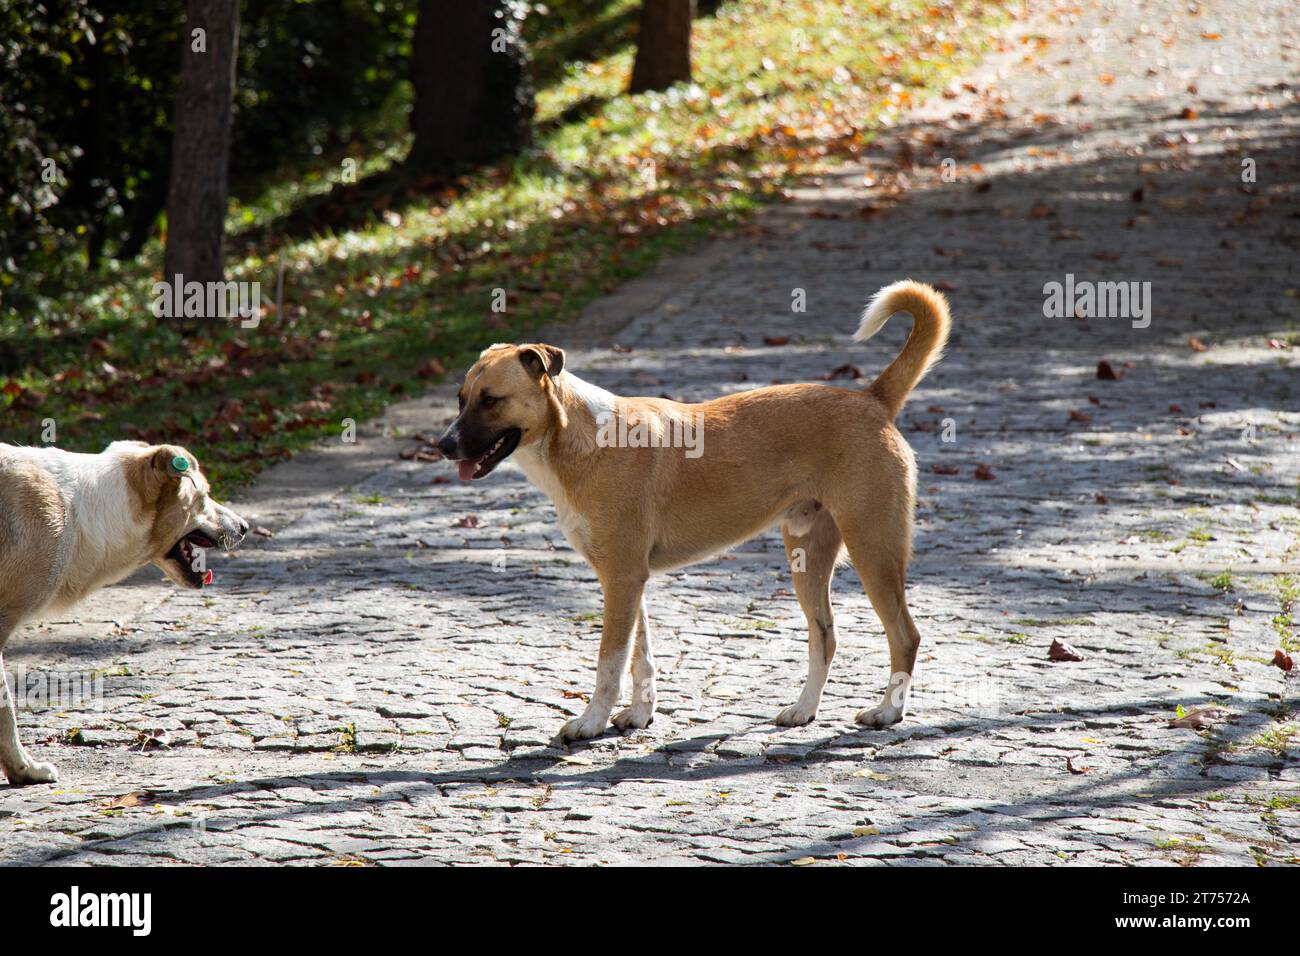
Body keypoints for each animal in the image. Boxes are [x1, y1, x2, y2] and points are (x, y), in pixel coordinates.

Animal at [436, 280, 956, 743]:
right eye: (460, 399)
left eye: (491, 400)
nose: (442, 446)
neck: (578, 439)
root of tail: (872, 399)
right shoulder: (628, 580)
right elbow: (640, 657)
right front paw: (639, 716)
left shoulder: (622, 578)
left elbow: (609, 663)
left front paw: (590, 723)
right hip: (807, 557)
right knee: (825, 637)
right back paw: (804, 710)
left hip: (873, 550)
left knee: (905, 636)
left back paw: (888, 712)